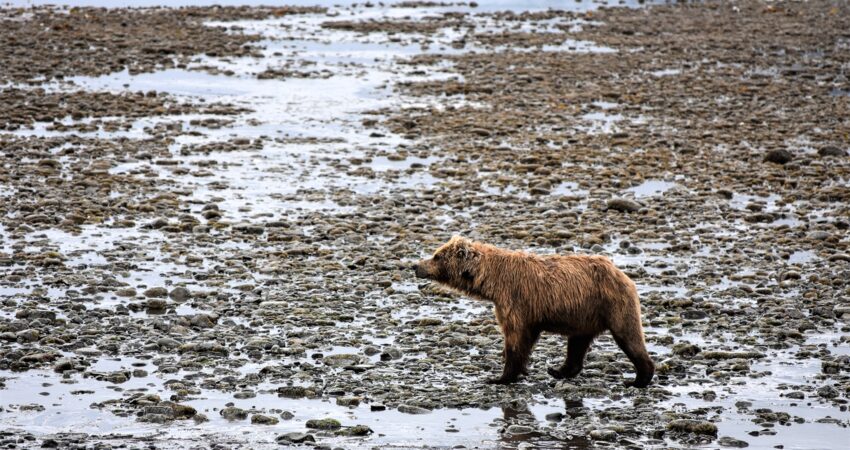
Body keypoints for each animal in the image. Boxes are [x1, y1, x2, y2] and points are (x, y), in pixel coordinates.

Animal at [414, 236, 652, 386]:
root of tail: (622, 274)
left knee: (628, 336)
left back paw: (639, 378)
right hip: (585, 314)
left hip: (611, 303)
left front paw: (500, 377)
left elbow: (516, 338)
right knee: (577, 343)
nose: (416, 266)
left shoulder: (516, 300)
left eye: (436, 256)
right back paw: (558, 370)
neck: (491, 281)